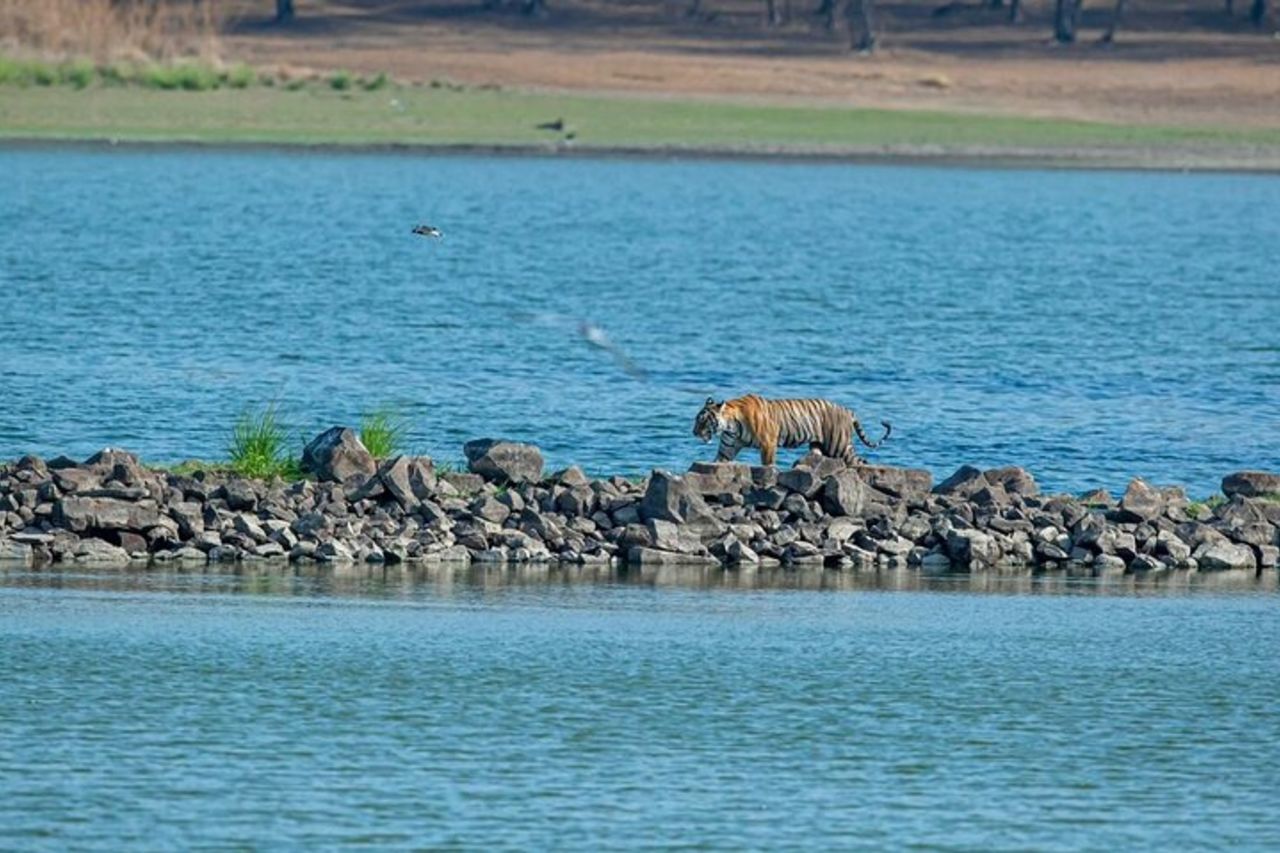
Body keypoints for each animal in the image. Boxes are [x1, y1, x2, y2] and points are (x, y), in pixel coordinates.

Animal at [692, 394, 891, 467]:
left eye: (702, 420)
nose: (694, 432)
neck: (731, 425)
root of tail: (847, 410)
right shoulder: (727, 448)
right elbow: (719, 460)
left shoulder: (768, 444)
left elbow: (768, 463)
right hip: (819, 446)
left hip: (838, 446)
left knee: (859, 461)